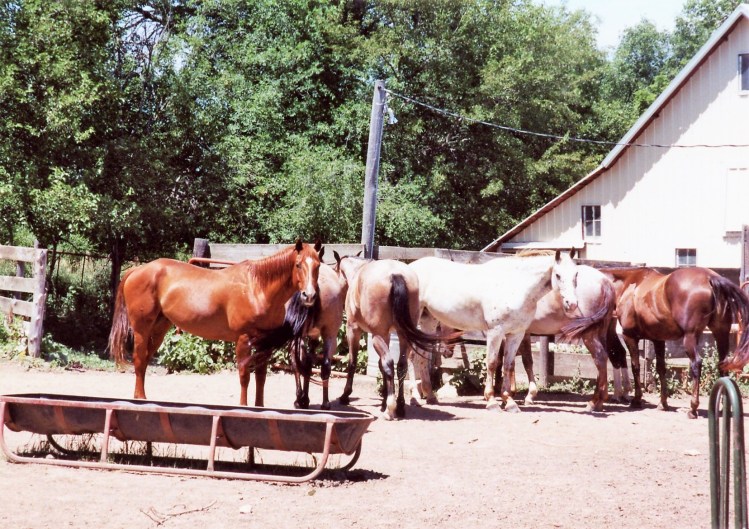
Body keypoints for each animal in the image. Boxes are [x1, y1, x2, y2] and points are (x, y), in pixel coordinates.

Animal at [108, 240, 323, 406]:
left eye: (318, 266)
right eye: (298, 264)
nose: (309, 295)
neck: (257, 288)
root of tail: (137, 269)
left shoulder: (265, 343)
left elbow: (260, 377)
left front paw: (259, 407)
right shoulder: (243, 339)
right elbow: (244, 375)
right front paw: (243, 407)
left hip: (159, 330)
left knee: (144, 361)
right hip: (141, 330)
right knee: (138, 360)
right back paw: (141, 399)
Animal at [288, 262, 346, 410]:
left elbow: (305, 363)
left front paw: (303, 399)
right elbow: (312, 364)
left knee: (296, 361)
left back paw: (300, 399)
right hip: (330, 335)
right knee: (325, 366)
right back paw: (325, 403)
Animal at [334, 253, 455, 420]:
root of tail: (395, 274)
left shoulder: (354, 330)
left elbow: (353, 362)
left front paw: (346, 396)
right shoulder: (386, 335)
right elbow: (381, 365)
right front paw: (384, 399)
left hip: (378, 335)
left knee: (390, 364)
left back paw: (391, 409)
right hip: (402, 336)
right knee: (401, 366)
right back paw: (401, 406)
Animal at [410, 263, 618, 412]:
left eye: (442, 326)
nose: (446, 353)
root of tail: (605, 281)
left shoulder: (512, 333)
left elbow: (509, 363)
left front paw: (512, 396)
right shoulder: (519, 334)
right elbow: (517, 362)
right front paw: (514, 395)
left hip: (589, 336)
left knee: (600, 358)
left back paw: (594, 402)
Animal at [601, 266, 749, 419]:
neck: (629, 285)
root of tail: (710, 278)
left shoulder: (629, 337)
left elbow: (635, 367)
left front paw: (636, 400)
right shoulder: (658, 340)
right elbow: (661, 368)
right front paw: (663, 403)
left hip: (690, 337)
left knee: (696, 363)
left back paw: (693, 408)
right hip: (721, 334)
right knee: (722, 364)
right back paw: (723, 407)